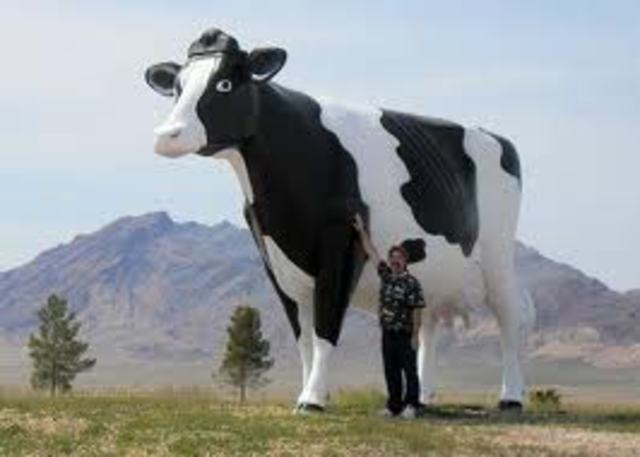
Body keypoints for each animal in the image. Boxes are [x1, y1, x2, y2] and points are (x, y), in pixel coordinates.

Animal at [144, 28, 534, 412]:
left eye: (224, 83)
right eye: (177, 87)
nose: (166, 135)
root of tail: (498, 138)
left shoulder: (342, 243)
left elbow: (325, 327)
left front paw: (313, 399)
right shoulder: (274, 258)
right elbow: (303, 337)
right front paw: (305, 393)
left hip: (498, 256)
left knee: (510, 318)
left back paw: (510, 397)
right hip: (436, 276)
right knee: (428, 328)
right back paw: (421, 397)